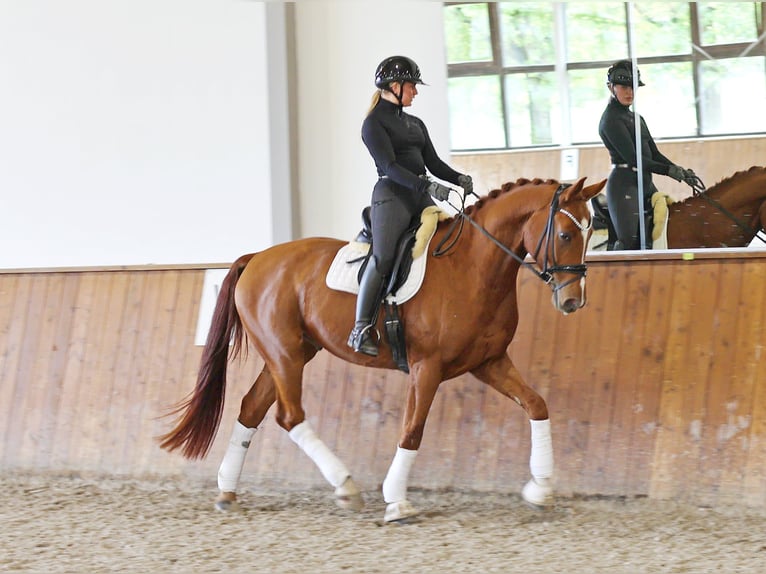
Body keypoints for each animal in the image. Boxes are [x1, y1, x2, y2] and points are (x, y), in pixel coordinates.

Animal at [160, 178, 608, 524]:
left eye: (590, 234)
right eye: (566, 235)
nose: (573, 301)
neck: (472, 267)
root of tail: (256, 258)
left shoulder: (489, 363)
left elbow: (536, 405)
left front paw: (540, 489)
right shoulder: (428, 367)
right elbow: (412, 430)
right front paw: (397, 501)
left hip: (290, 353)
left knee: (251, 408)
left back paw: (227, 492)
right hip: (284, 354)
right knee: (289, 416)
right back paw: (345, 486)